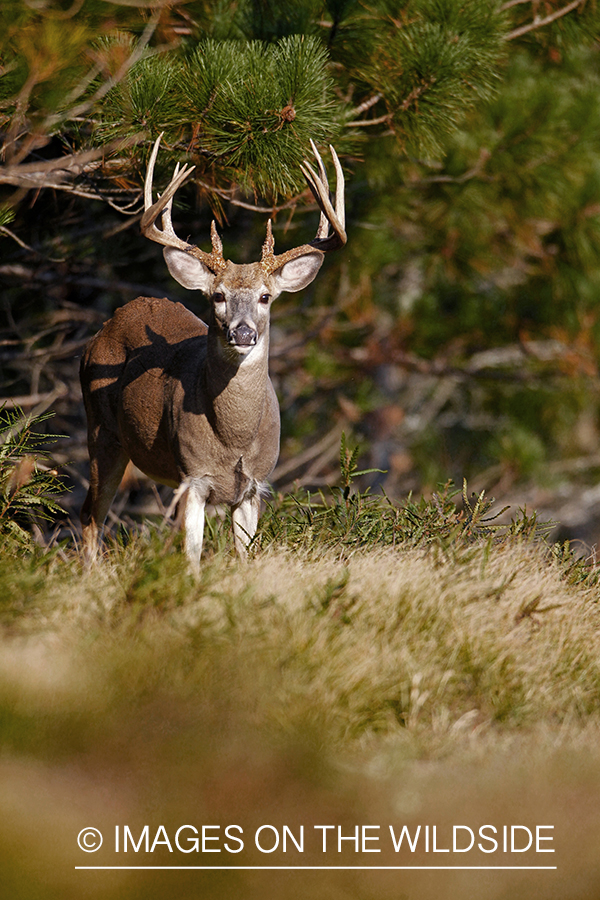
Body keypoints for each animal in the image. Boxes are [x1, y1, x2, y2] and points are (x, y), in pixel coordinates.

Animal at [78, 134, 346, 568]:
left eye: (266, 297)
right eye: (218, 295)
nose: (243, 332)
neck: (233, 436)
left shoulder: (253, 486)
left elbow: (246, 556)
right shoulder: (192, 477)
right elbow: (192, 555)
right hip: (101, 430)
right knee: (90, 516)